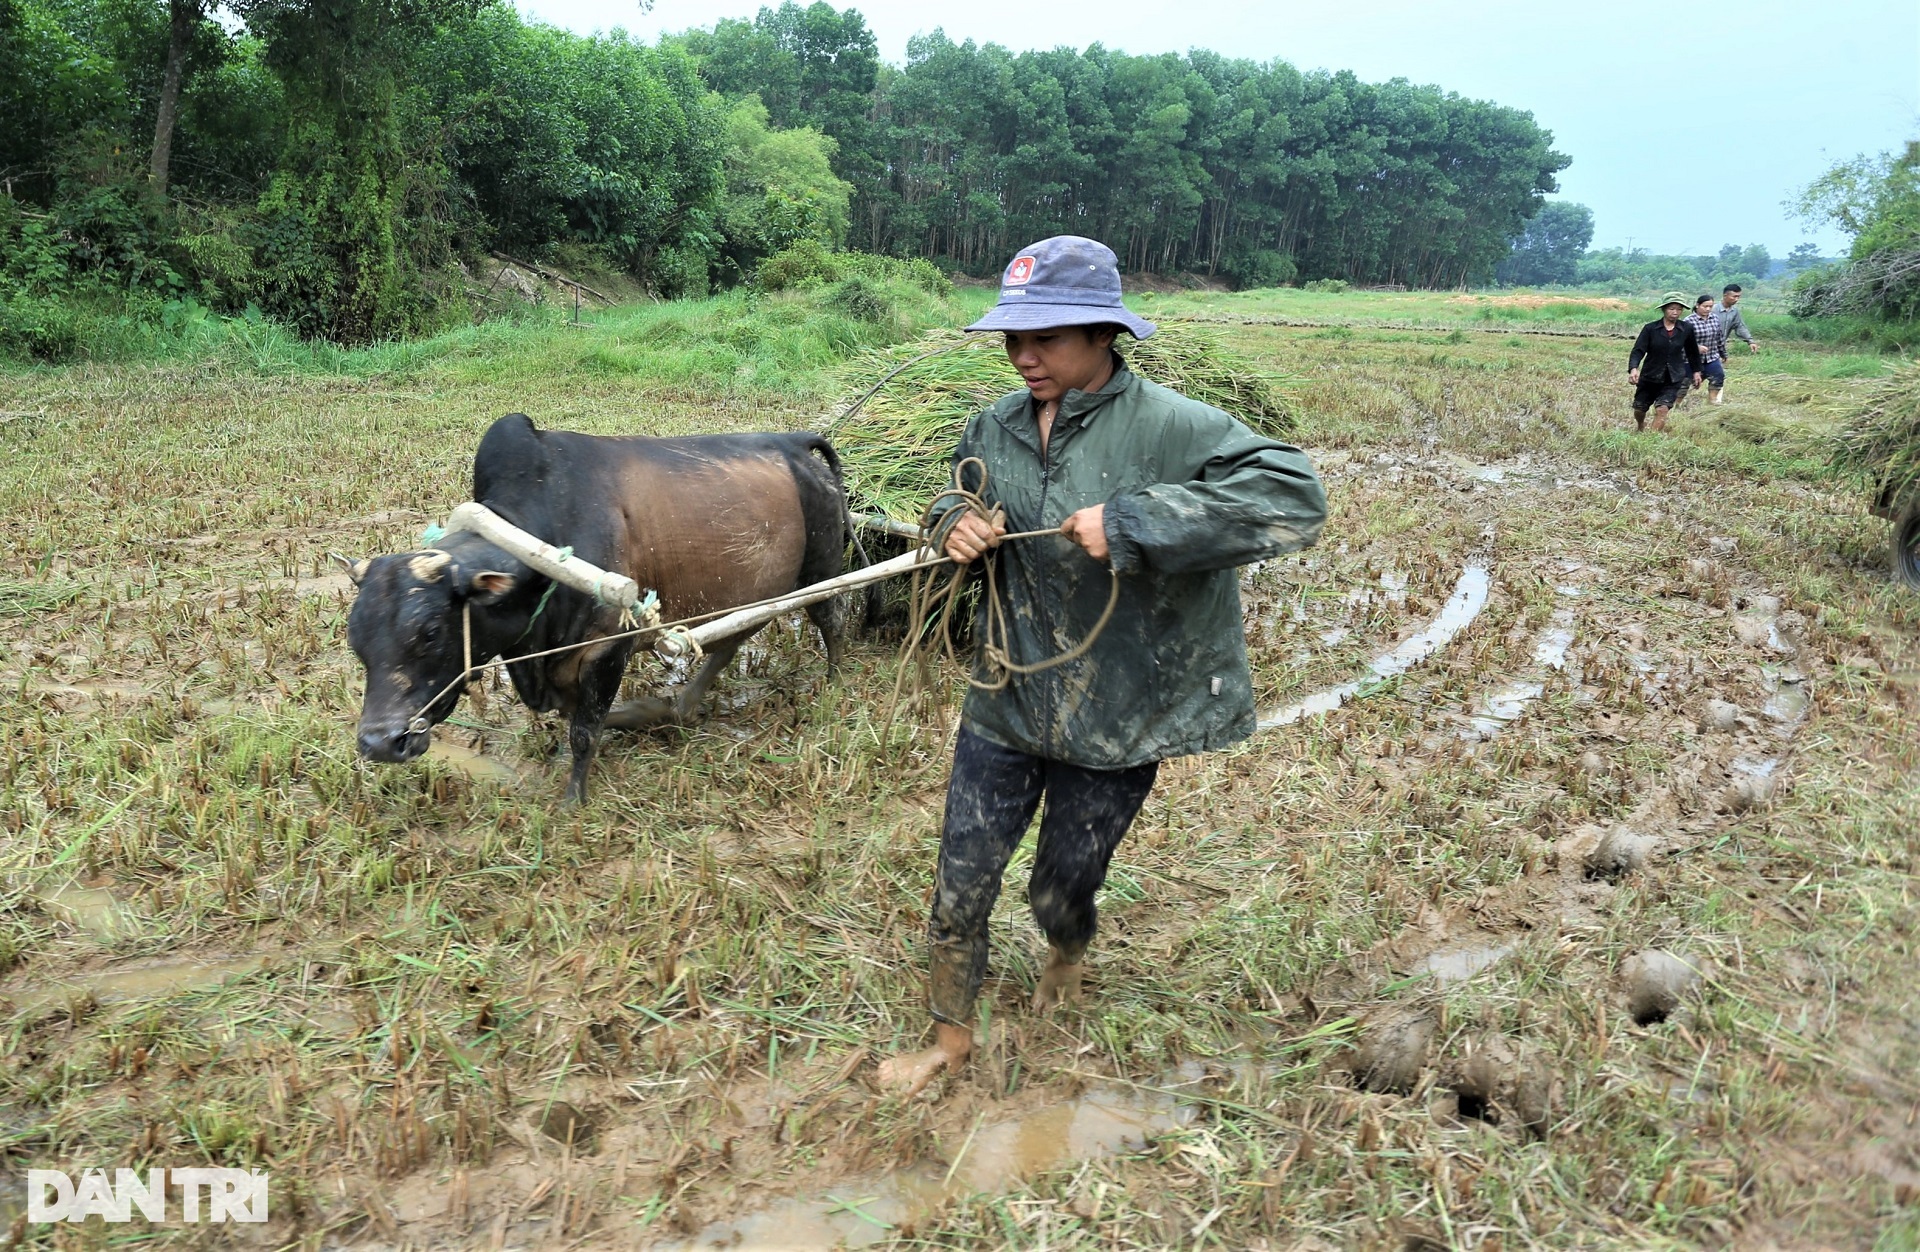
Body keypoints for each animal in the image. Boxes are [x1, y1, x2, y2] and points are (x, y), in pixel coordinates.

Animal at [343, 412, 848, 802]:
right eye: (355, 638)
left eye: (430, 632)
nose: (381, 742)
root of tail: (796, 443)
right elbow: (577, 715)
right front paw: (637, 716)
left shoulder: (608, 647)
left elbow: (584, 729)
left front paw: (574, 798)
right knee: (729, 643)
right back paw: (680, 708)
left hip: (820, 570)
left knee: (831, 619)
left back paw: (833, 685)